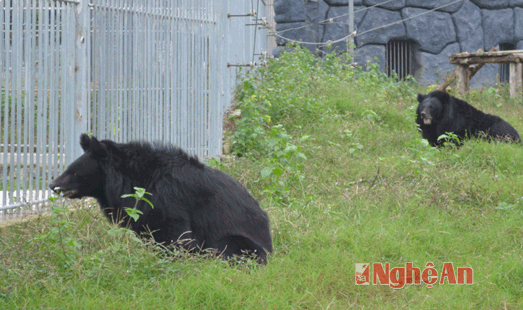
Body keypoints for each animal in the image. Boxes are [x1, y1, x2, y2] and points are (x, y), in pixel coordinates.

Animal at [49, 134, 274, 262]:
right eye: (68, 168)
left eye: (74, 172)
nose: (53, 185)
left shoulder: (168, 200)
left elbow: (178, 236)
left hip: (239, 240)